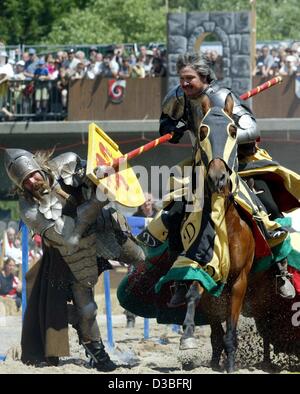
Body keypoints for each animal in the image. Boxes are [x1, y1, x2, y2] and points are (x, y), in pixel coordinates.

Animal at [178, 94, 255, 372]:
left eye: (233, 131)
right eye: (203, 131)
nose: (218, 177)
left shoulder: (240, 281)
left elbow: (231, 328)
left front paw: (231, 364)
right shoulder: (203, 266)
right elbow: (192, 293)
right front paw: (188, 337)